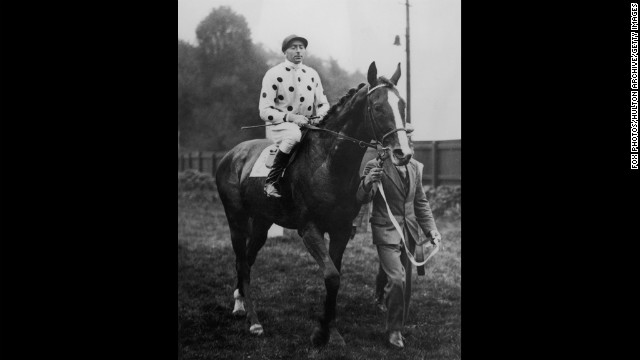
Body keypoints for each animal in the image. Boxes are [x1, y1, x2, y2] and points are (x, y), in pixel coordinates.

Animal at [218, 61, 412, 346]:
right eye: (378, 107)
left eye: (403, 105)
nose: (403, 153)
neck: (328, 163)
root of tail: (232, 154)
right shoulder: (309, 228)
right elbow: (331, 276)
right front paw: (321, 332)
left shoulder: (341, 229)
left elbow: (336, 275)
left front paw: (331, 330)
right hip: (236, 219)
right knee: (242, 262)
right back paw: (254, 320)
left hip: (263, 222)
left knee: (248, 259)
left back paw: (240, 303)